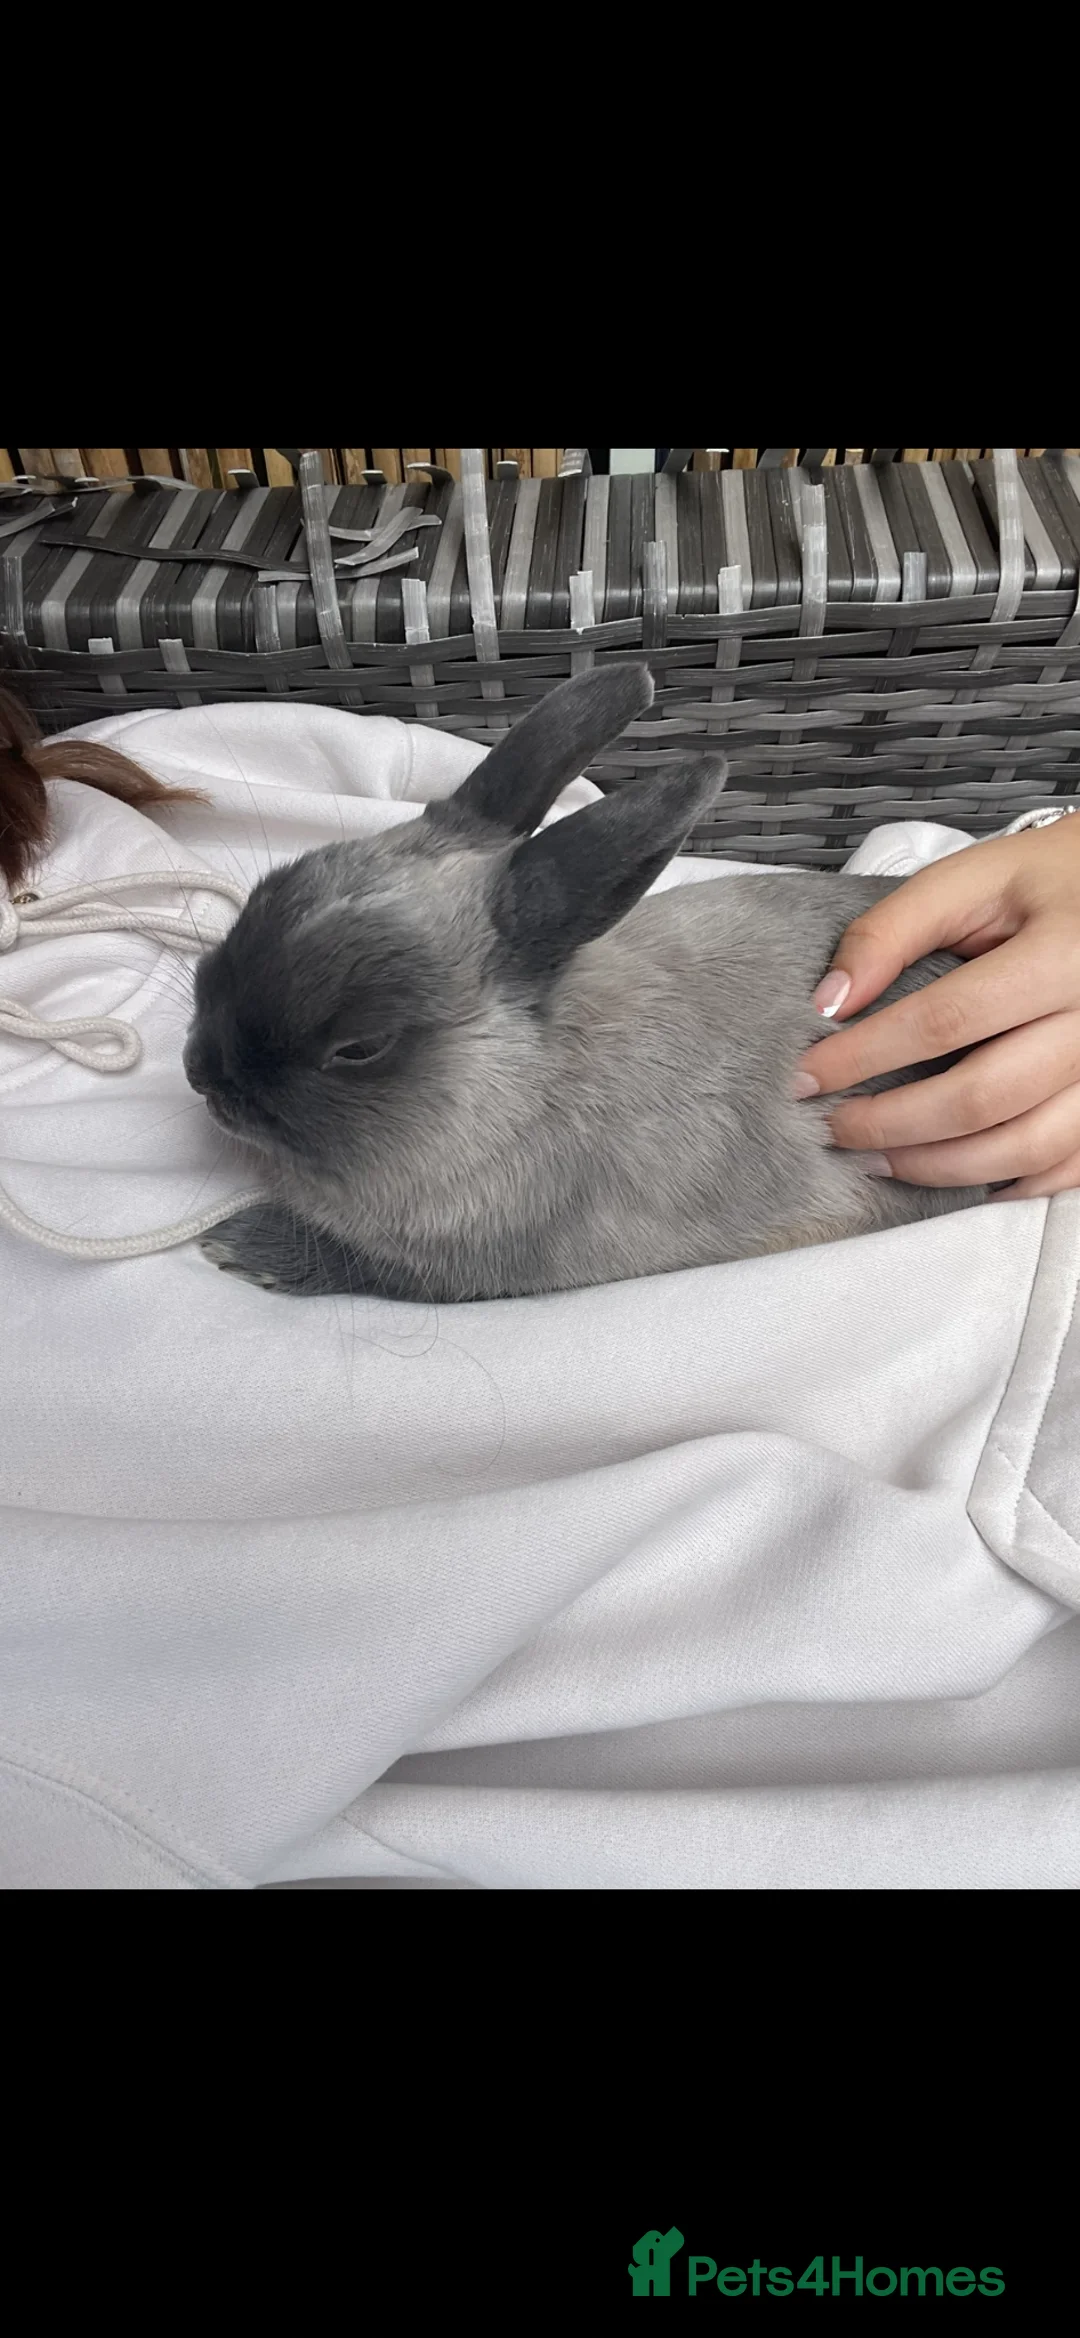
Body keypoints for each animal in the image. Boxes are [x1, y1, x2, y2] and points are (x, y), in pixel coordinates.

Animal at [184, 663, 989, 1303]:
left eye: (359, 1048)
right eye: (263, 896)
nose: (201, 1073)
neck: (516, 1093)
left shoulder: (465, 1270)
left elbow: (362, 1266)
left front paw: (240, 1247)